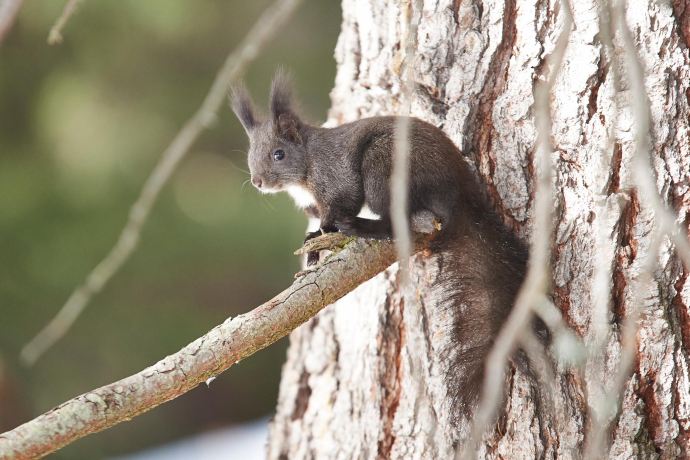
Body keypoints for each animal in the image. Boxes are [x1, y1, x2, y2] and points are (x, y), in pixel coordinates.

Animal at [231, 71, 543, 423]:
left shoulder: (336, 178)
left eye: (279, 154)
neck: (307, 166)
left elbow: (340, 206)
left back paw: (362, 227)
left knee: (396, 221)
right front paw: (313, 242)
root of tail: (461, 193)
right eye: (250, 155)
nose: (258, 182)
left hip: (385, 167)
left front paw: (320, 236)